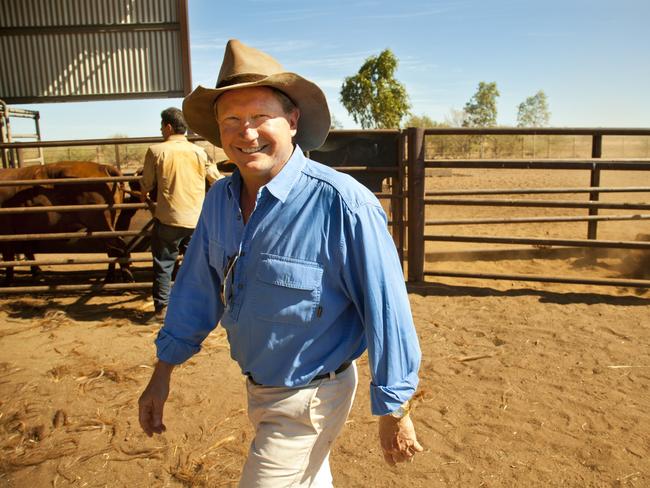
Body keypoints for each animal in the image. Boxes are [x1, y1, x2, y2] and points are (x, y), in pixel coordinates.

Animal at [0, 163, 134, 286]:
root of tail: (103, 166)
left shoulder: (6, 233)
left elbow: (8, 258)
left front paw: (8, 282)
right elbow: (28, 252)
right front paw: (36, 272)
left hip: (101, 223)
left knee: (119, 247)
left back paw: (128, 279)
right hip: (105, 227)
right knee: (113, 250)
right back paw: (110, 278)